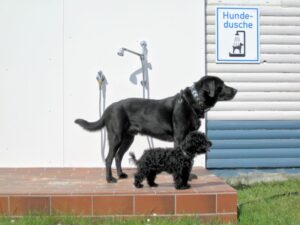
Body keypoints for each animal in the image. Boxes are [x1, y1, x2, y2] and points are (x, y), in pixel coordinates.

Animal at [75, 75, 237, 183]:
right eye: (222, 84)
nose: (235, 90)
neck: (193, 102)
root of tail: (108, 108)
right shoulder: (180, 137)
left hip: (128, 138)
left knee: (118, 156)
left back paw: (121, 175)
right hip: (116, 137)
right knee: (108, 158)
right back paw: (110, 178)